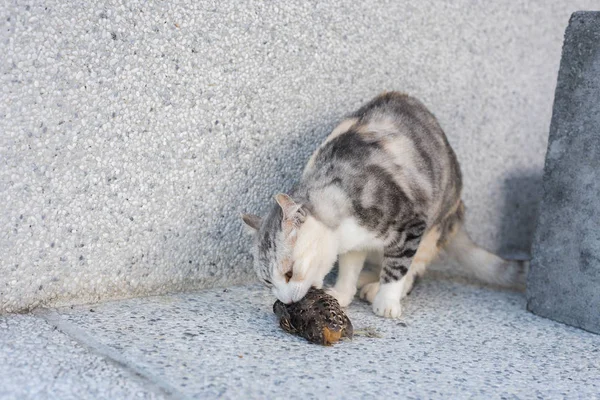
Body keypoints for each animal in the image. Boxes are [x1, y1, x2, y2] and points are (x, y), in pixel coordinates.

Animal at [241, 91, 528, 318]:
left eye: (289, 273)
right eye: (267, 280)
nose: (286, 300)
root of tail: (459, 211)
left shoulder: (412, 224)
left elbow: (398, 267)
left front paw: (386, 300)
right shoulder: (354, 243)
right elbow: (349, 266)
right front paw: (343, 292)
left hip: (433, 230)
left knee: (413, 269)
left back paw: (378, 288)